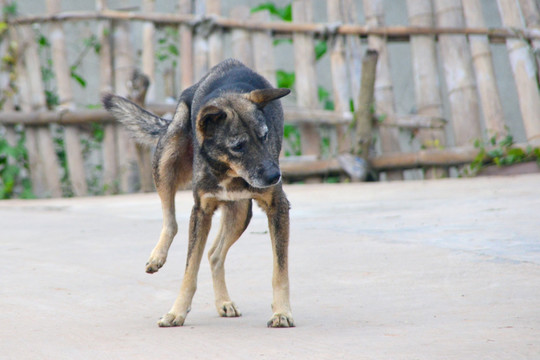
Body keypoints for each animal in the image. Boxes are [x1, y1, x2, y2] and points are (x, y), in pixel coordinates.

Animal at [103, 57, 294, 328]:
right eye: (238, 146)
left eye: (265, 136)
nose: (274, 176)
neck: (227, 170)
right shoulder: (201, 211)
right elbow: (189, 270)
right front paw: (176, 312)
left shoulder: (278, 208)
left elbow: (280, 271)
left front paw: (281, 312)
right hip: (166, 160)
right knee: (171, 220)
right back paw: (157, 256)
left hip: (240, 213)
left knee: (214, 255)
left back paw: (223, 301)